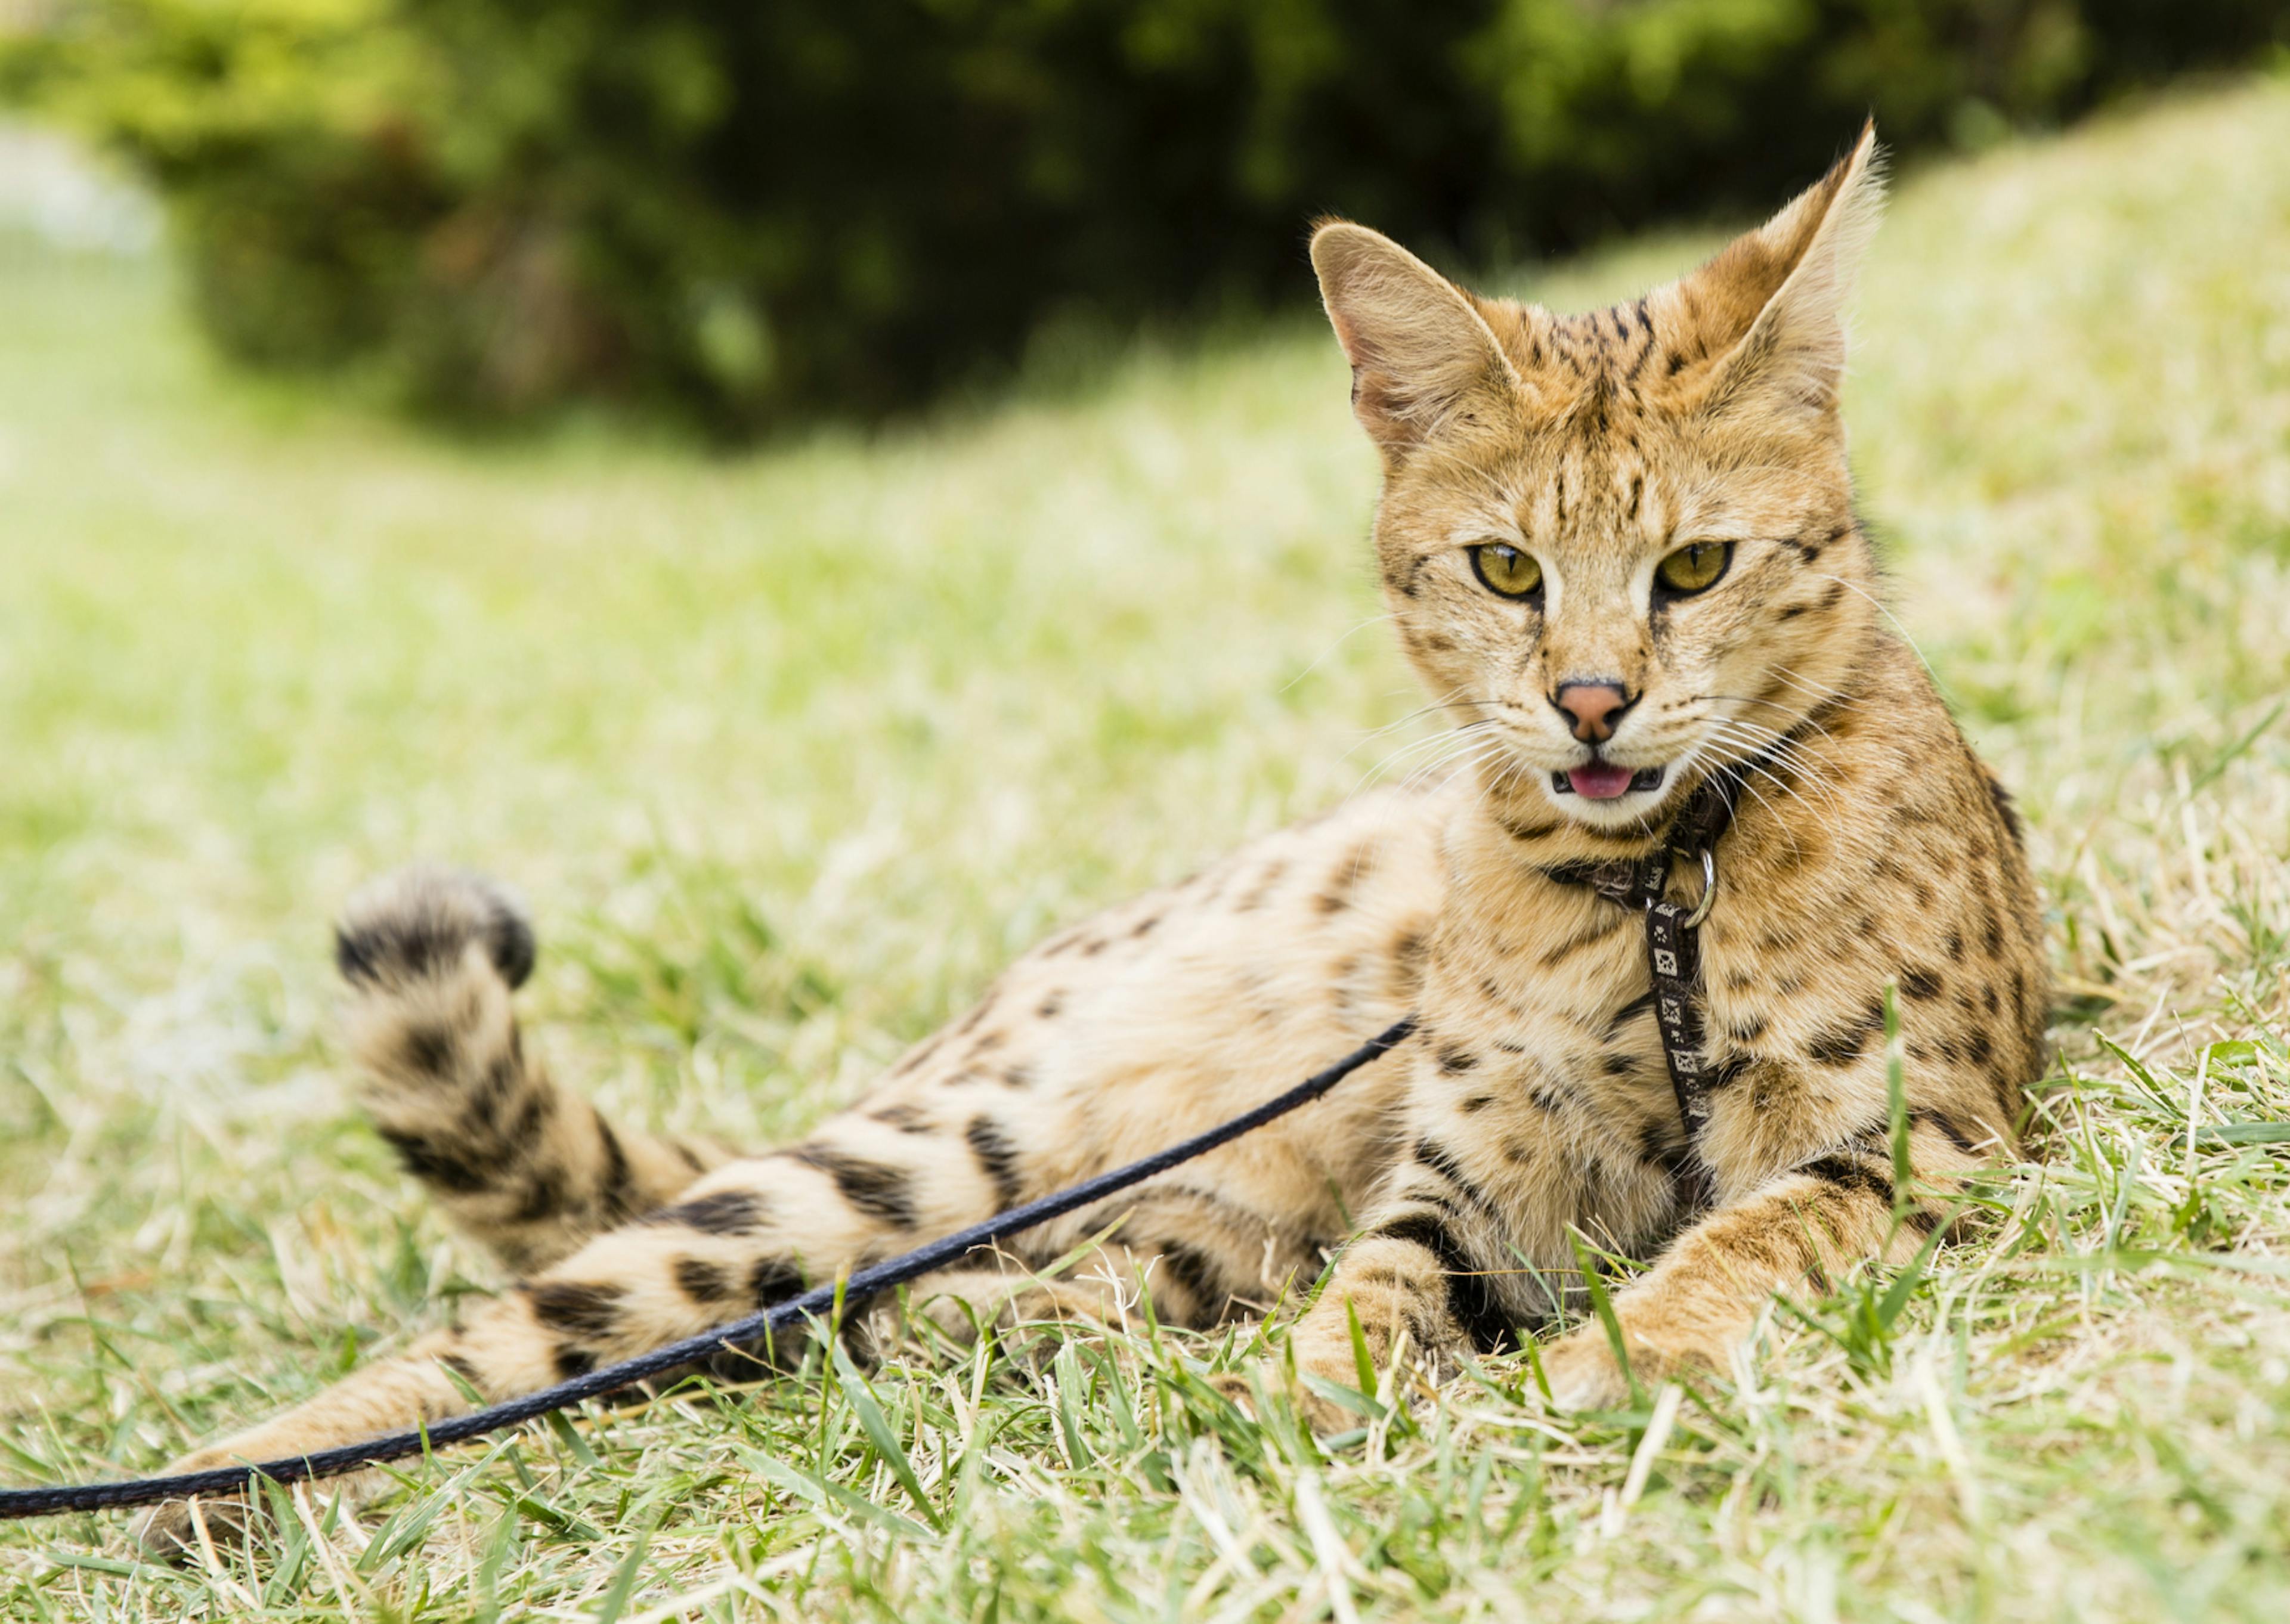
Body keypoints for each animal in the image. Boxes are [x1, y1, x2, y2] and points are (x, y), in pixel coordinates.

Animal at [134, 126, 2051, 1548]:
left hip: (1171, 1211)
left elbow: (1736, 1239)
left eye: (1697, 567)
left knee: (943, 1299)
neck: (1652, 884)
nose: (1588, 702)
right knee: (541, 1325)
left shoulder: (1912, 1134)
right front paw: (1313, 1408)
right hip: (938, 1146)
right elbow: (1377, 1297)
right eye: (1507, 568)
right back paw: (222, 1481)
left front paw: (1606, 1365)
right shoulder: (1465, 1179)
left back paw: (977, 1332)